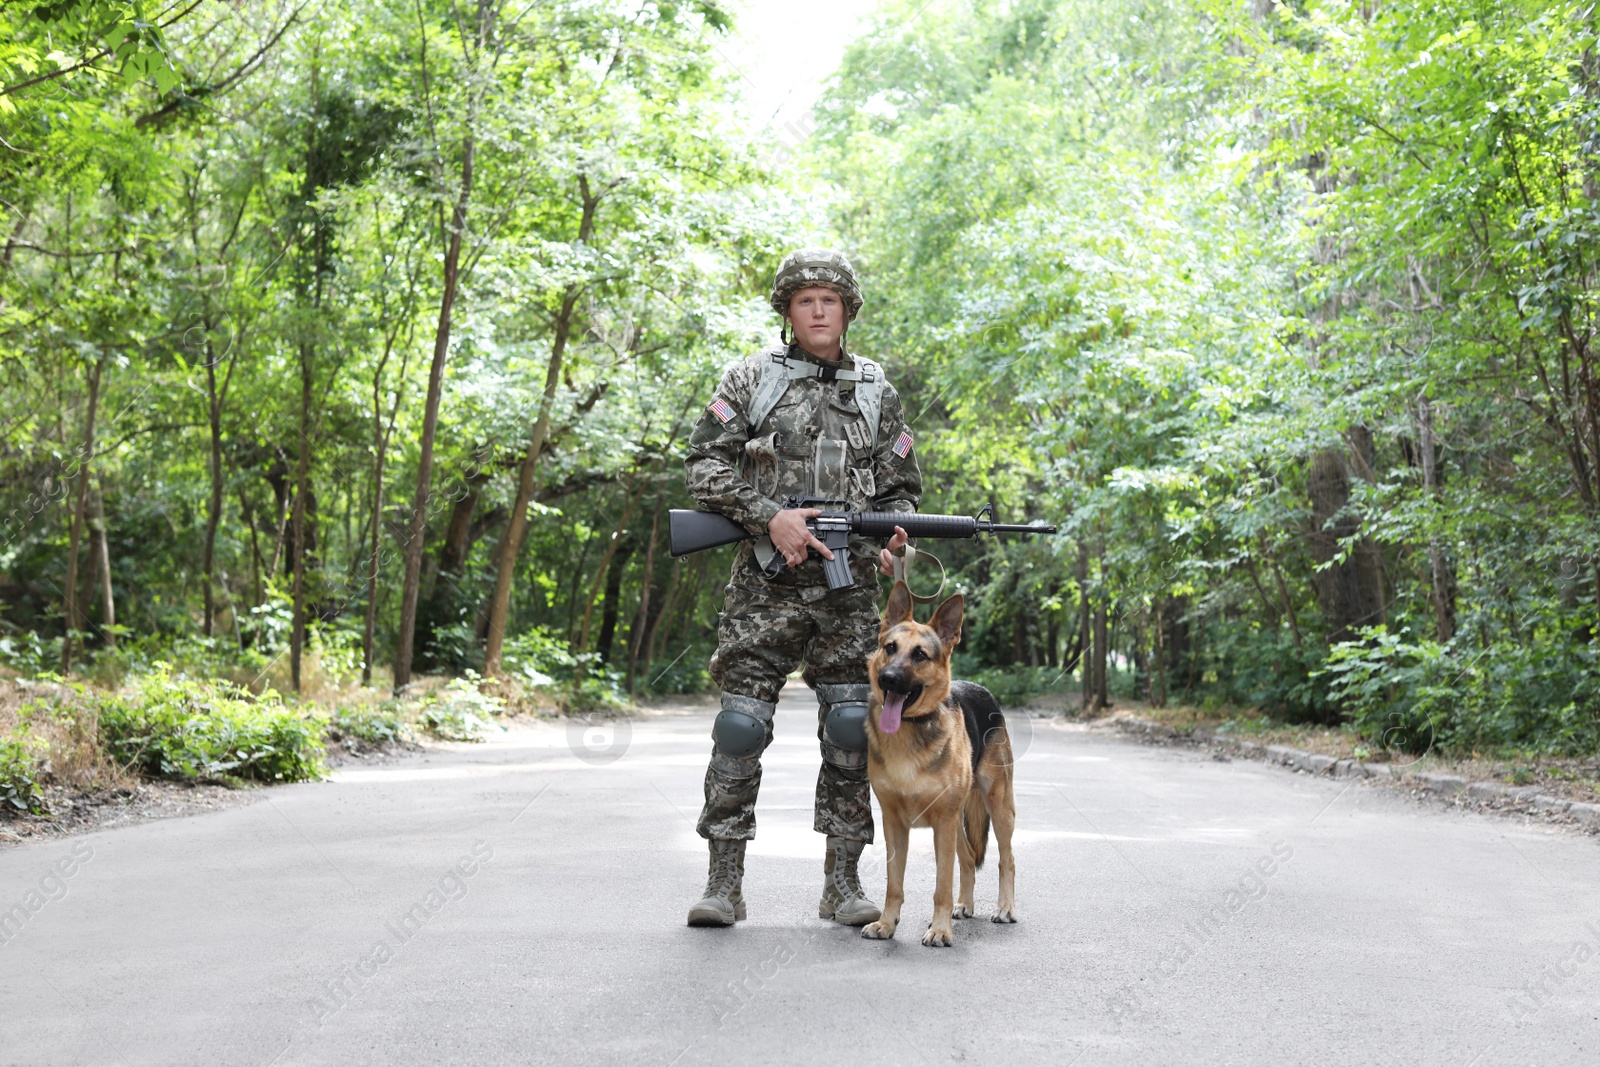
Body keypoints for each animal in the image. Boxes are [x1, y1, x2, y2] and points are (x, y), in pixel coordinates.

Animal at [870, 579, 1017, 947]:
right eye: (889, 647)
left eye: (920, 655)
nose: (887, 679)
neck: (909, 731)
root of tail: (981, 687)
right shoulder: (894, 824)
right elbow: (894, 884)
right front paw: (887, 923)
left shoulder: (944, 822)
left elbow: (941, 885)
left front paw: (939, 929)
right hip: (957, 819)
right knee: (967, 858)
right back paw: (964, 904)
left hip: (998, 807)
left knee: (1005, 859)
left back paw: (1005, 908)